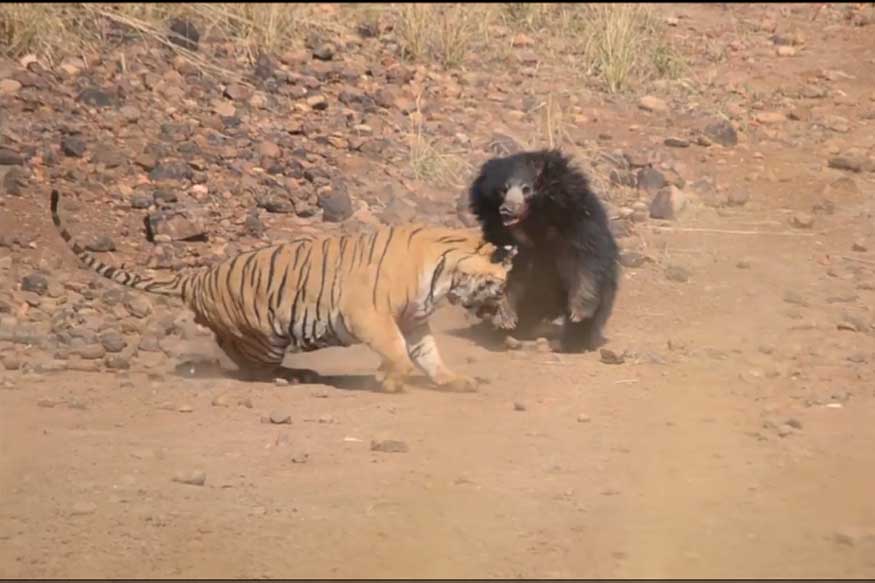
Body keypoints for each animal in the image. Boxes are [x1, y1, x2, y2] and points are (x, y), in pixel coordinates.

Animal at [49, 189, 512, 394]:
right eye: (504, 285)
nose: (509, 315)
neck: (444, 272)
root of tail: (195, 277)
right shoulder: (370, 315)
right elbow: (397, 351)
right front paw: (389, 379)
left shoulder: (414, 321)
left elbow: (428, 354)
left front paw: (453, 379)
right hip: (264, 333)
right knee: (247, 363)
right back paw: (290, 376)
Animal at [468, 148, 620, 354]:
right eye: (503, 189)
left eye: (526, 189)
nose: (506, 210)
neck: (535, 218)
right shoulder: (501, 233)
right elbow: (505, 268)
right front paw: (505, 318)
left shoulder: (578, 222)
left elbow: (587, 260)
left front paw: (579, 312)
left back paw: (573, 342)